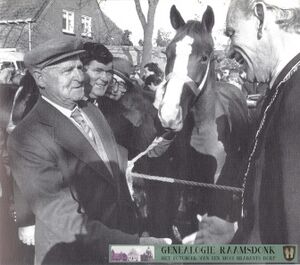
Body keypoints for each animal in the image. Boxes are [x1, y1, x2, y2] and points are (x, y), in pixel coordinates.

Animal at [156, 4, 250, 235]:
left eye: (205, 57)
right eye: (168, 53)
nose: (169, 114)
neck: (202, 131)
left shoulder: (217, 185)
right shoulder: (185, 183)